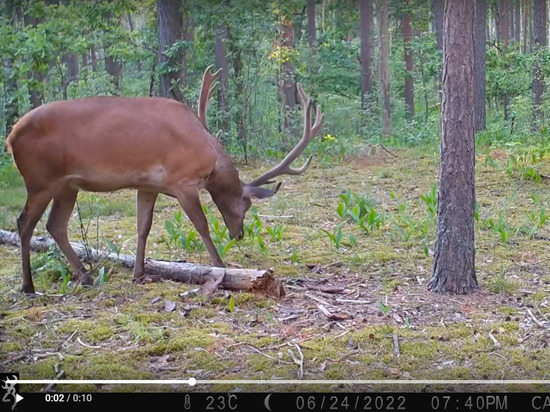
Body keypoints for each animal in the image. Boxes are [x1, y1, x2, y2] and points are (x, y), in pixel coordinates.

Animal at [4, 66, 324, 294]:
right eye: (245, 204)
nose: (239, 234)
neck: (209, 157)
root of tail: (10, 136)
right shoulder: (182, 181)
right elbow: (201, 225)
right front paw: (221, 267)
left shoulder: (147, 185)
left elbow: (143, 227)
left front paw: (138, 273)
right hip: (41, 180)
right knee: (24, 223)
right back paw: (28, 286)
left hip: (67, 184)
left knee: (55, 225)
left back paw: (86, 276)